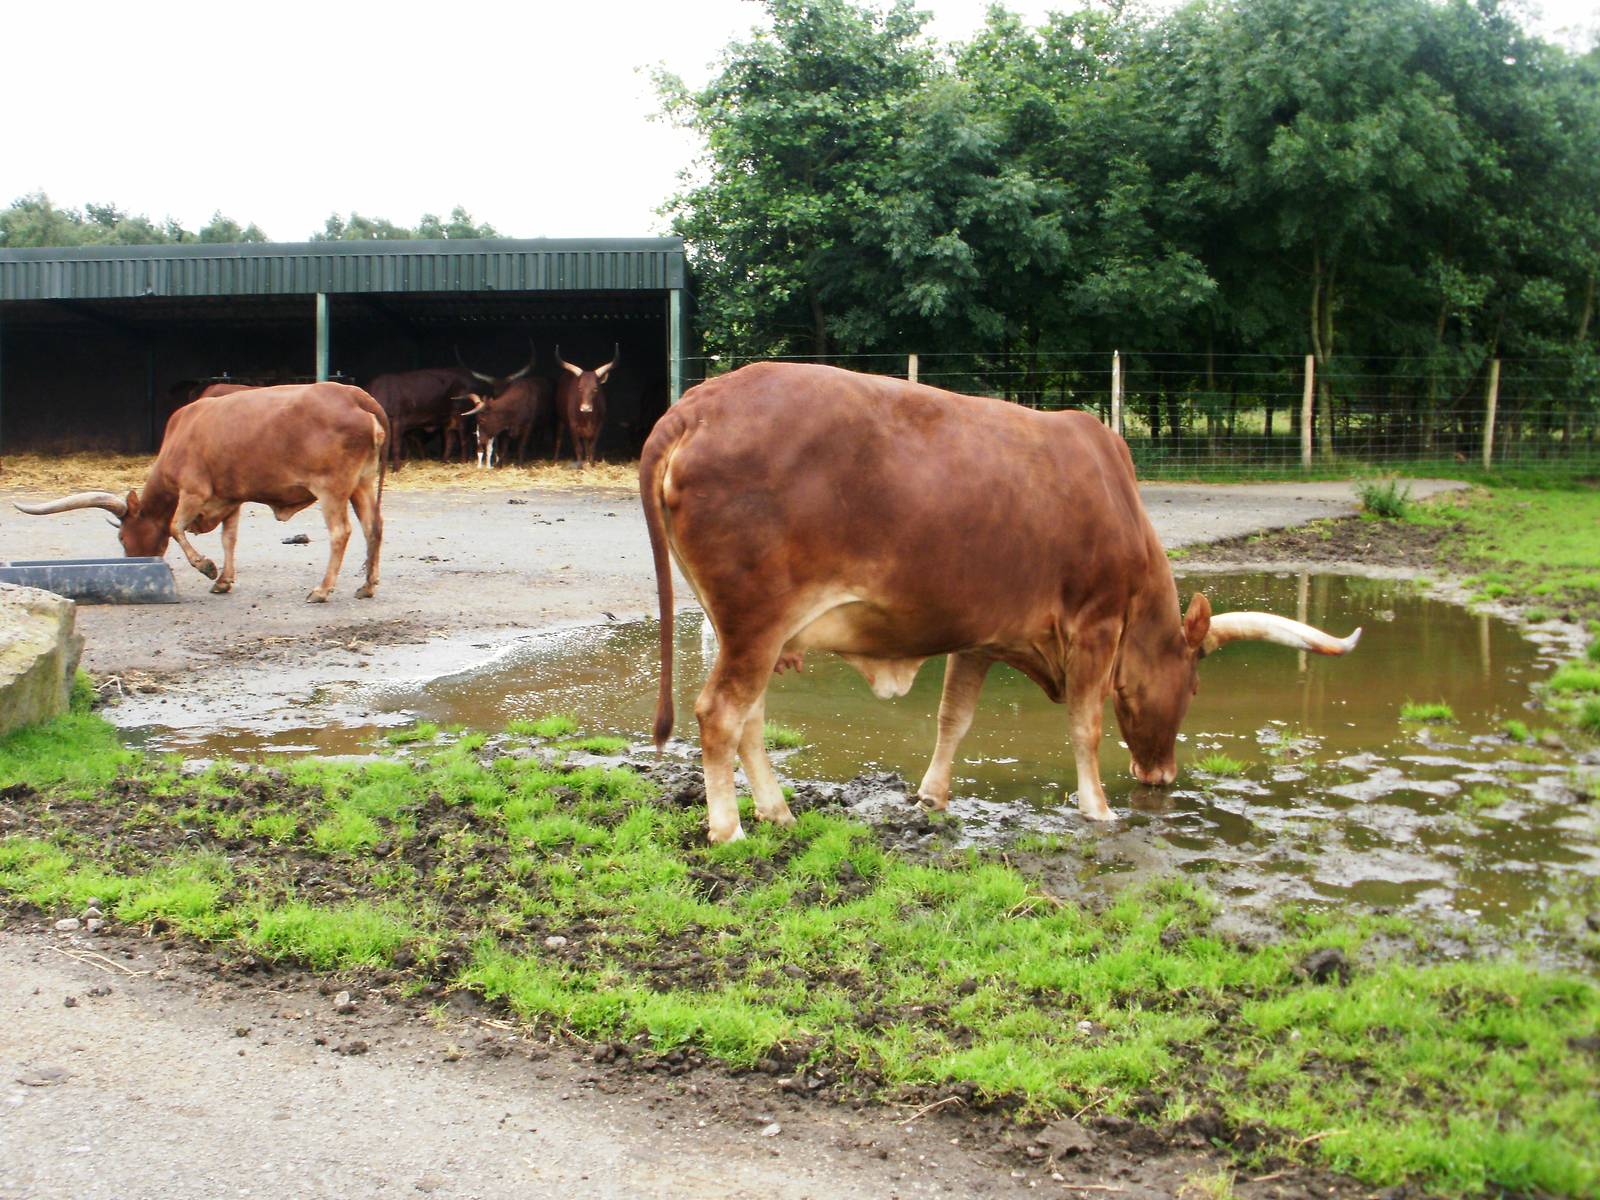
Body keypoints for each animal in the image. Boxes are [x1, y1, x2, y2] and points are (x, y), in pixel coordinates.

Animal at [16, 382, 388, 604]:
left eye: (122, 537)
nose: (133, 563)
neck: (181, 434)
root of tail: (355, 396)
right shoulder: (231, 498)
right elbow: (229, 539)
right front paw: (223, 579)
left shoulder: (193, 492)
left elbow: (174, 527)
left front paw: (207, 567)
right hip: (361, 484)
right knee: (374, 528)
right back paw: (367, 585)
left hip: (332, 489)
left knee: (341, 532)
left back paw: (322, 590)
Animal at [639, 363, 1361, 843]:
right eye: (1193, 688)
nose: (1160, 775)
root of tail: (699, 403)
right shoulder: (1095, 623)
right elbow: (1086, 723)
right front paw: (1099, 808)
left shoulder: (982, 635)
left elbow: (953, 719)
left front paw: (932, 798)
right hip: (756, 623)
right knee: (720, 714)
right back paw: (729, 828)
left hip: (744, 630)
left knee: (750, 719)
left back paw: (777, 809)